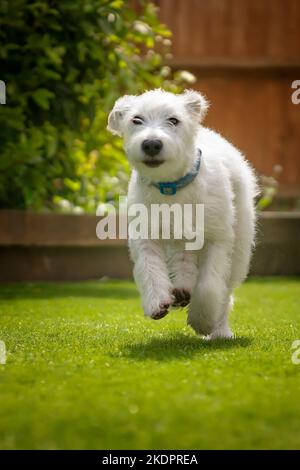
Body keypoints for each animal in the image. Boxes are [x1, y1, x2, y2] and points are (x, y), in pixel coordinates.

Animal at [107, 89, 258, 338]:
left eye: (174, 120)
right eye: (136, 120)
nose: (151, 144)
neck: (172, 187)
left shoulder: (217, 238)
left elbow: (210, 284)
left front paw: (202, 319)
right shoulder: (145, 235)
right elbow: (149, 266)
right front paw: (157, 302)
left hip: (239, 248)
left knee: (225, 291)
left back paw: (220, 329)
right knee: (183, 259)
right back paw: (182, 290)